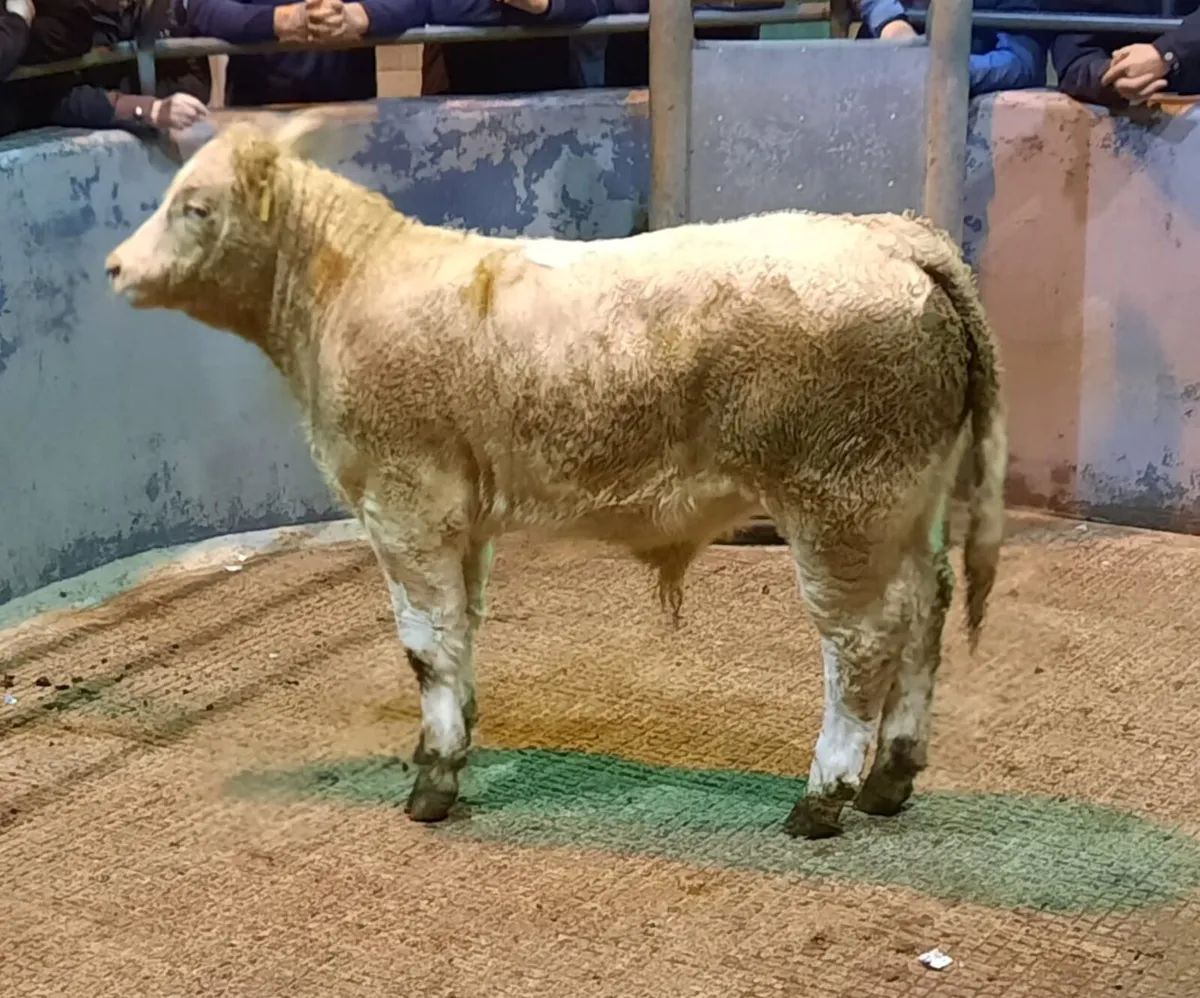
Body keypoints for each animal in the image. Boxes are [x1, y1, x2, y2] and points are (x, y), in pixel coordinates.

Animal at [105, 111, 1007, 840]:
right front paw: (457, 740)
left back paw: (825, 796)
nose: (114, 267)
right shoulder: (460, 518)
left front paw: (433, 782)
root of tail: (893, 236)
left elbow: (425, 645)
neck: (344, 290)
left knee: (862, 641)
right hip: (903, 500)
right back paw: (890, 778)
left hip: (840, 501)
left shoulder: (403, 502)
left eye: (195, 206)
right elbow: (462, 630)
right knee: (927, 608)